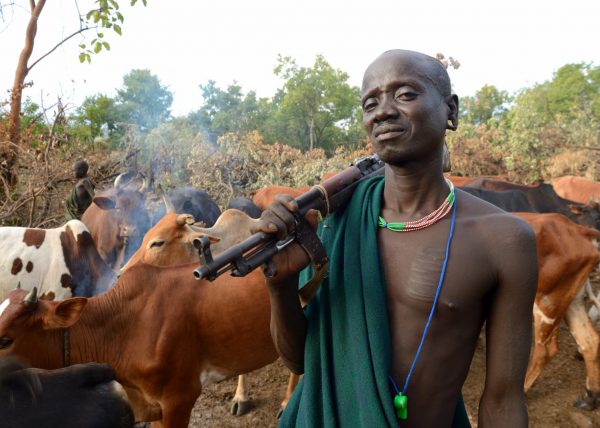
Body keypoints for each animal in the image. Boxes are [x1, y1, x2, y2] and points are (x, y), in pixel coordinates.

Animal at [516, 212, 600, 410]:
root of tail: (579, 230)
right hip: (571, 301)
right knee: (589, 341)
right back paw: (590, 397)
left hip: (547, 303)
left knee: (544, 351)